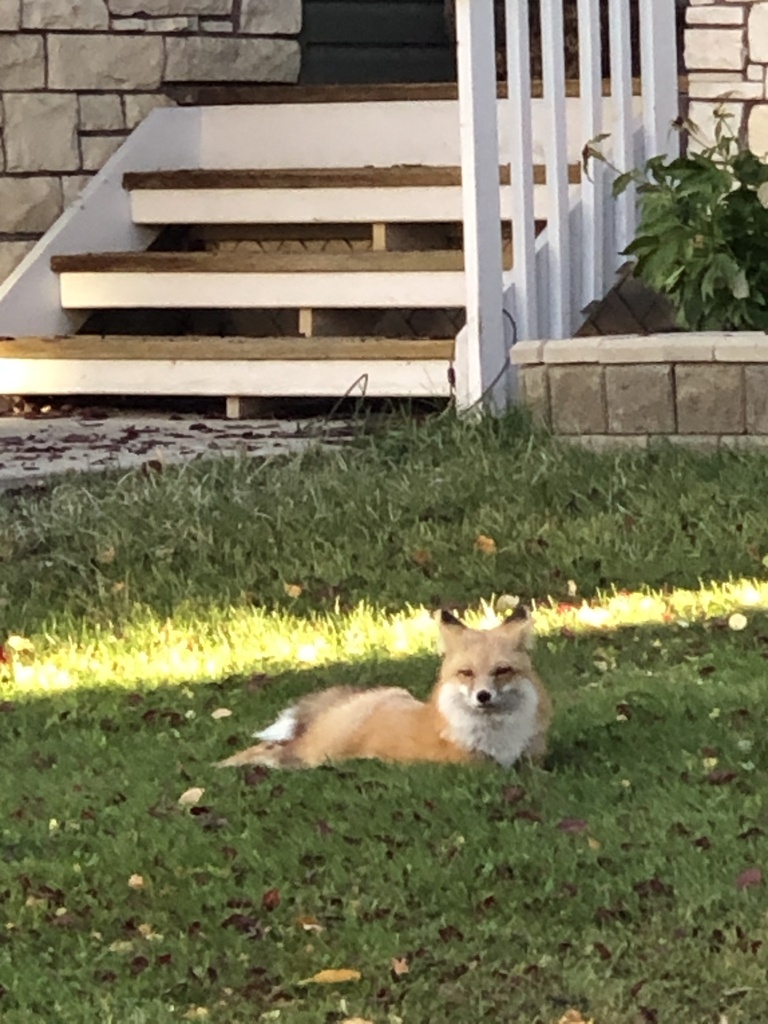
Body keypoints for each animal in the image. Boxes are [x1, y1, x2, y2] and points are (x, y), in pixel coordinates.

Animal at [217, 605, 552, 770]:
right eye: (466, 673)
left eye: (502, 671)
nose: (483, 696)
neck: (499, 738)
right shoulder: (470, 766)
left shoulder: (533, 758)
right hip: (319, 754)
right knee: (273, 750)